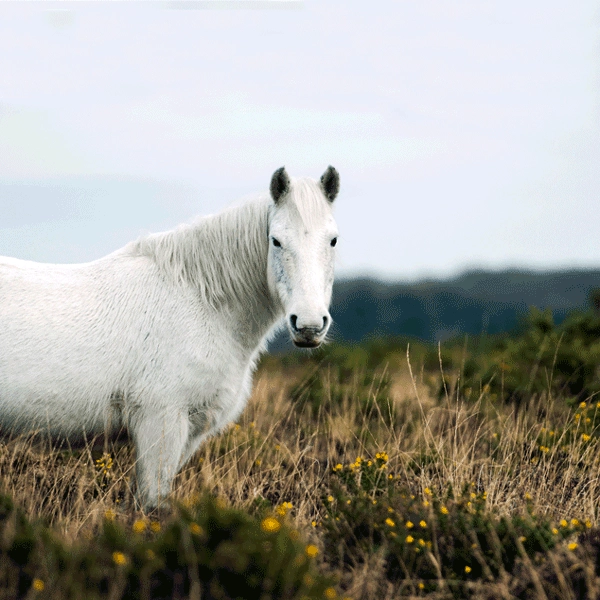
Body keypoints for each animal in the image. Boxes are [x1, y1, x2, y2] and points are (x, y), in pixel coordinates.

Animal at [0, 166, 338, 508]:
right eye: (276, 241)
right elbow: (152, 502)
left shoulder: (186, 433)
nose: (309, 325)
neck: (201, 300)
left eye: (334, 240)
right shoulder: (161, 423)